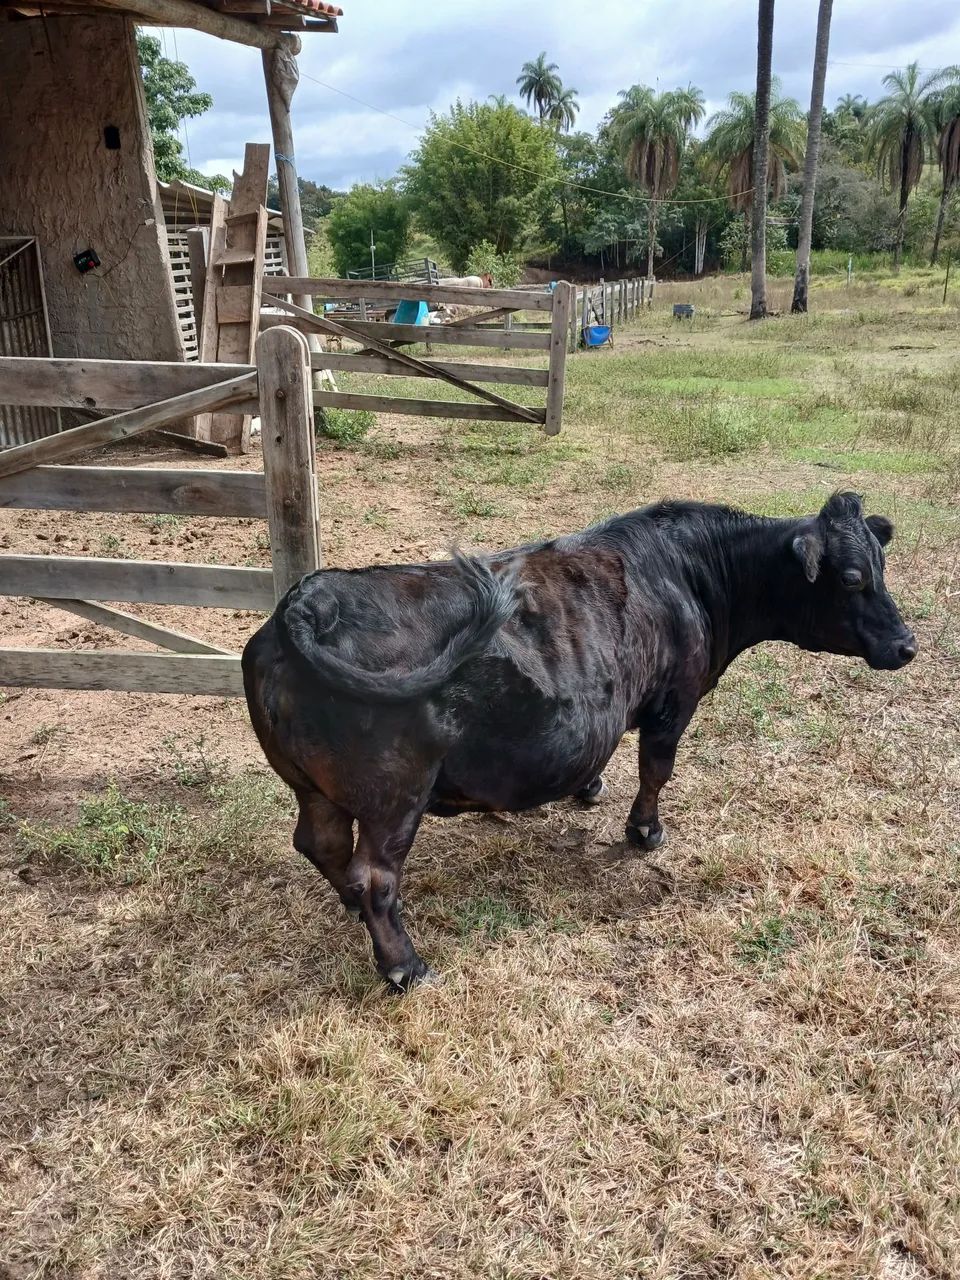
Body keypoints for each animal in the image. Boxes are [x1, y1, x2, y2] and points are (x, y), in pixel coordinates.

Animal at [242, 492, 916, 991]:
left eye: (881, 568)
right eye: (852, 577)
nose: (906, 645)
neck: (689, 575)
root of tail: (308, 600)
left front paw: (589, 787)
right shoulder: (674, 701)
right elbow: (655, 769)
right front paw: (645, 830)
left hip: (313, 786)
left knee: (322, 846)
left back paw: (352, 912)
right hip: (396, 796)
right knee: (375, 878)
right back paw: (405, 966)